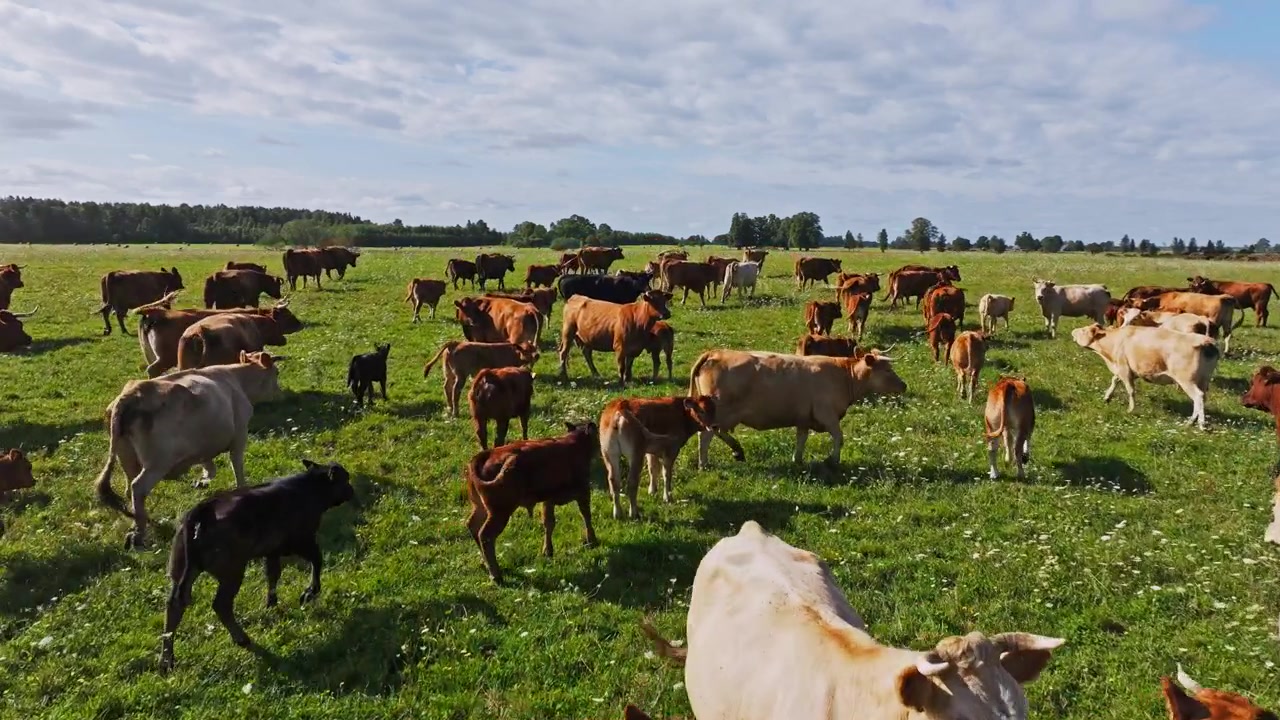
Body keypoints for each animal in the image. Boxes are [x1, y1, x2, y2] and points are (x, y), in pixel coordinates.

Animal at [94, 351, 284, 548]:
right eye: (276, 373)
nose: (280, 392)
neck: (235, 379)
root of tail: (130, 395)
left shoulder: (203, 445)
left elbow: (209, 466)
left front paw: (203, 480)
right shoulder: (239, 436)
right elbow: (237, 467)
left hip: (127, 458)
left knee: (129, 490)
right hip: (157, 464)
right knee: (138, 487)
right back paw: (138, 535)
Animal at [158, 459, 354, 672]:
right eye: (345, 479)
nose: (351, 490)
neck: (309, 486)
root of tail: (200, 513)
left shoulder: (273, 551)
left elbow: (273, 574)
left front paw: (271, 603)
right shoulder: (303, 541)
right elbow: (317, 561)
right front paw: (309, 593)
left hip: (181, 570)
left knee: (174, 605)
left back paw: (167, 659)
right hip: (232, 572)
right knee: (221, 605)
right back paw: (242, 638)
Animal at [464, 421, 599, 584]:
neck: (574, 442)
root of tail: (485, 455)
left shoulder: (548, 499)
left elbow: (549, 523)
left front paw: (547, 551)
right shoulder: (583, 490)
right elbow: (586, 515)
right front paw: (592, 541)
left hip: (479, 507)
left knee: (473, 526)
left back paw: (485, 564)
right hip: (499, 512)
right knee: (485, 535)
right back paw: (496, 575)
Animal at [688, 349, 906, 467]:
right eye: (888, 370)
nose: (904, 385)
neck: (843, 375)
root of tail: (716, 352)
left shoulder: (804, 418)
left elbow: (801, 438)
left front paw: (797, 460)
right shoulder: (827, 414)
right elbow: (838, 437)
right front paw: (833, 460)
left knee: (718, 432)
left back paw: (738, 451)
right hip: (718, 412)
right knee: (706, 436)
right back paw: (704, 463)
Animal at [1072, 324, 1220, 429]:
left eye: (1083, 330)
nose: (1073, 331)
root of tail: (1206, 340)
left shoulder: (1124, 368)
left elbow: (1130, 390)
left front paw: (1130, 409)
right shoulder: (1131, 370)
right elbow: (1115, 380)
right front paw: (1107, 397)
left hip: (1187, 380)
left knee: (1198, 397)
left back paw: (1198, 423)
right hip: (1203, 380)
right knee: (1202, 398)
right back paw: (1192, 422)